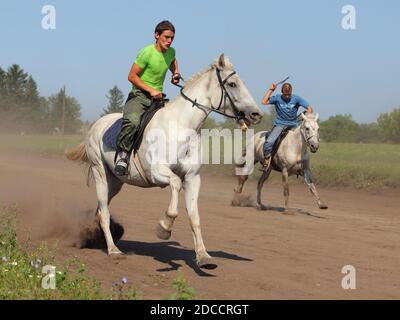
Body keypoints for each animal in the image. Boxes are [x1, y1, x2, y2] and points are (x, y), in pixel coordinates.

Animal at [65, 53, 262, 268]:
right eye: (233, 84)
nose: (256, 114)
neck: (181, 127)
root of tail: (96, 124)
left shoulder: (193, 178)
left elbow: (195, 218)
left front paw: (203, 257)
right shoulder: (157, 172)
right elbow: (175, 185)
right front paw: (164, 227)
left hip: (115, 181)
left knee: (101, 211)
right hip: (100, 173)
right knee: (104, 213)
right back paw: (113, 250)